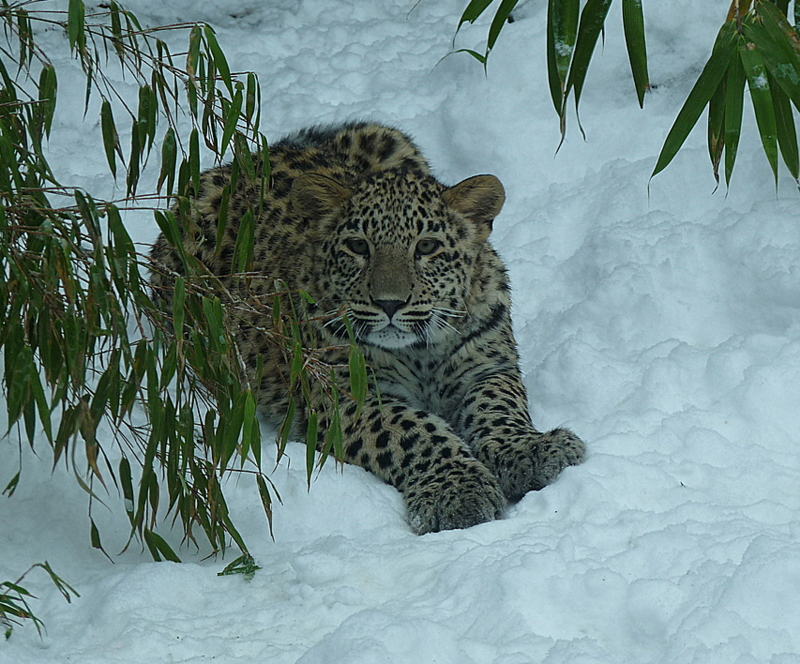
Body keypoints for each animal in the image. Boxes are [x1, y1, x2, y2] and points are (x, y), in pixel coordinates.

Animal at [150, 120, 584, 536]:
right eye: (358, 246)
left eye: (427, 247)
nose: (389, 303)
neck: (420, 350)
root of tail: (253, 157)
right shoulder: (345, 395)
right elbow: (414, 432)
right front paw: (458, 491)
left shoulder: (487, 368)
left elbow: (498, 407)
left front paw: (531, 450)